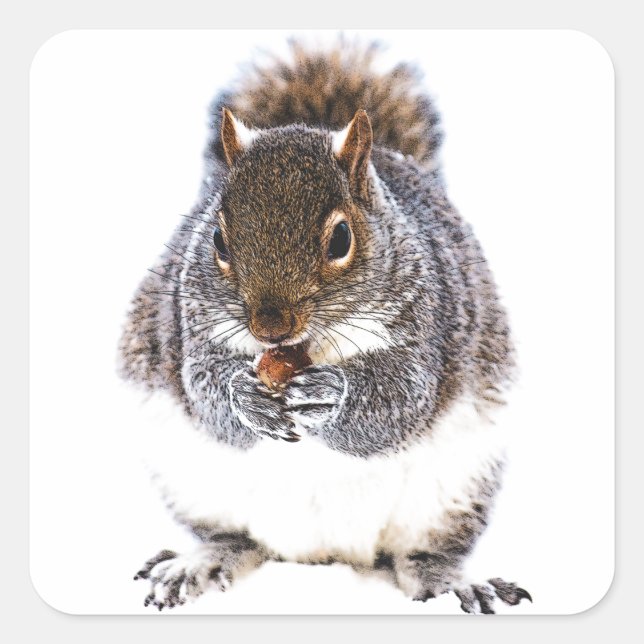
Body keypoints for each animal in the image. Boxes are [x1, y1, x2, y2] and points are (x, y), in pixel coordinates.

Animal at [120, 41, 531, 614]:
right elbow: (205, 392)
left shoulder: (427, 325)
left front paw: (330, 395)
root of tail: (325, 555)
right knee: (234, 537)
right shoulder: (190, 326)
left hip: (455, 488)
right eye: (218, 239)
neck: (305, 346)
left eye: (340, 239)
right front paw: (244, 397)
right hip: (192, 481)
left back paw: (454, 582)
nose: (270, 327)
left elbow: (399, 403)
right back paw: (199, 563)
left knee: (423, 554)